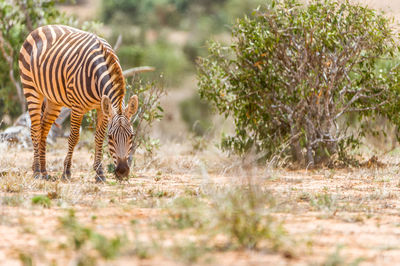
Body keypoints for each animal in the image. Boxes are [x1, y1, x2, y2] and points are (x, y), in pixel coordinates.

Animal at [18, 25, 139, 182]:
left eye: (131, 135)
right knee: (35, 129)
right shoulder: (77, 107)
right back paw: (37, 171)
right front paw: (66, 172)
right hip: (31, 88)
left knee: (44, 129)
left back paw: (44, 171)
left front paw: (99, 173)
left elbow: (98, 137)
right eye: (111, 137)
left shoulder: (102, 107)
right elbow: (74, 137)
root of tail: (40, 28)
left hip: (54, 100)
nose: (122, 171)